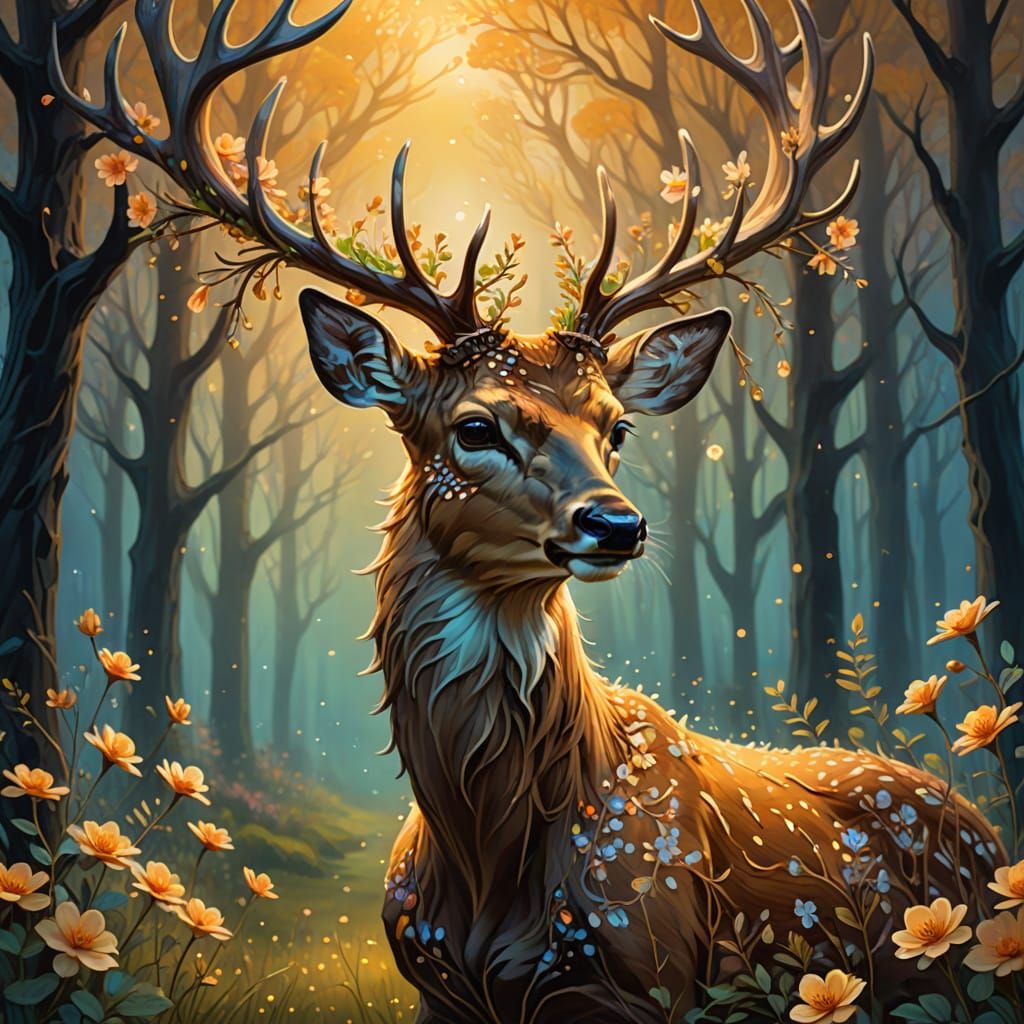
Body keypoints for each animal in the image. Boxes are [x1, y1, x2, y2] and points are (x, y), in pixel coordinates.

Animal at [53, 0, 1004, 1020]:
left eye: (617, 426)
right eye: (476, 426)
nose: (616, 525)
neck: (485, 866)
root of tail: (987, 830)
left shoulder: (647, 974)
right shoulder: (434, 986)